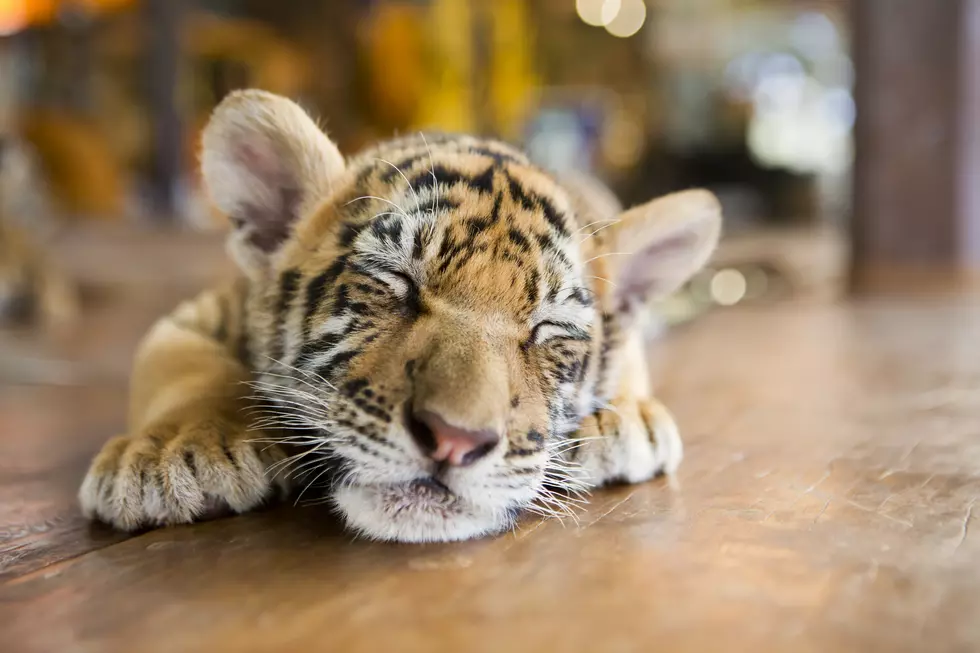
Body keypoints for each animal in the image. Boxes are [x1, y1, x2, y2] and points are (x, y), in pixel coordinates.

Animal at [78, 90, 721, 542]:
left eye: (546, 330)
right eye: (396, 283)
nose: (455, 441)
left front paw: (624, 418)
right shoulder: (194, 315)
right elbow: (182, 366)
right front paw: (173, 453)